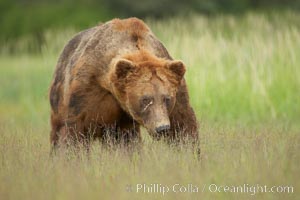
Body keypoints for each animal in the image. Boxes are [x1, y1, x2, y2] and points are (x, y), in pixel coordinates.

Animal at [49, 17, 199, 152]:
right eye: (145, 99)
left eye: (167, 98)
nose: (162, 128)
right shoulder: (87, 90)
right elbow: (76, 129)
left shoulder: (176, 93)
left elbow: (183, 125)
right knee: (57, 131)